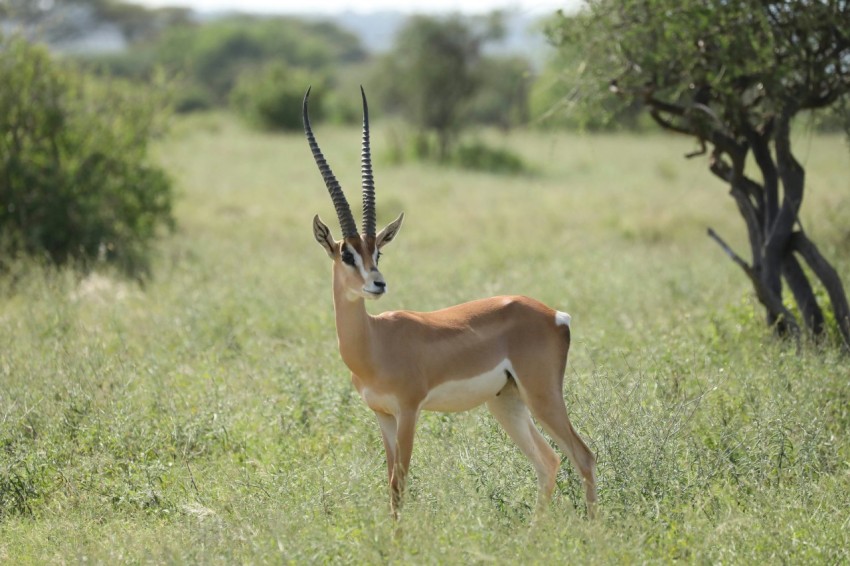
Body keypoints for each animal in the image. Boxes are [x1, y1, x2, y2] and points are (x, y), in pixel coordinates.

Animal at [304, 86, 596, 520]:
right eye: (347, 254)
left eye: (378, 251)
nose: (378, 283)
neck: (374, 343)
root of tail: (556, 316)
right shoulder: (382, 416)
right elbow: (388, 486)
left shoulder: (409, 411)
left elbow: (400, 485)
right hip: (507, 403)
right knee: (549, 461)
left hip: (541, 396)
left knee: (582, 456)